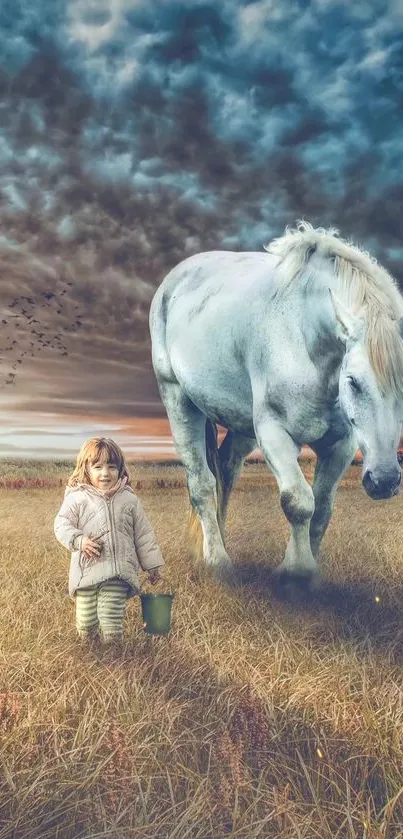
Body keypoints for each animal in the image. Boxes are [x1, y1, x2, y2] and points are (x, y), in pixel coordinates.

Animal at [149, 221, 403, 584]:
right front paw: (296, 571)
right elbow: (298, 501)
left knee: (226, 471)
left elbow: (322, 509)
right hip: (180, 402)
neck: (306, 338)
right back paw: (216, 560)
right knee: (202, 483)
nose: (384, 481)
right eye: (353, 381)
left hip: (241, 423)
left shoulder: (340, 445)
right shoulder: (274, 433)